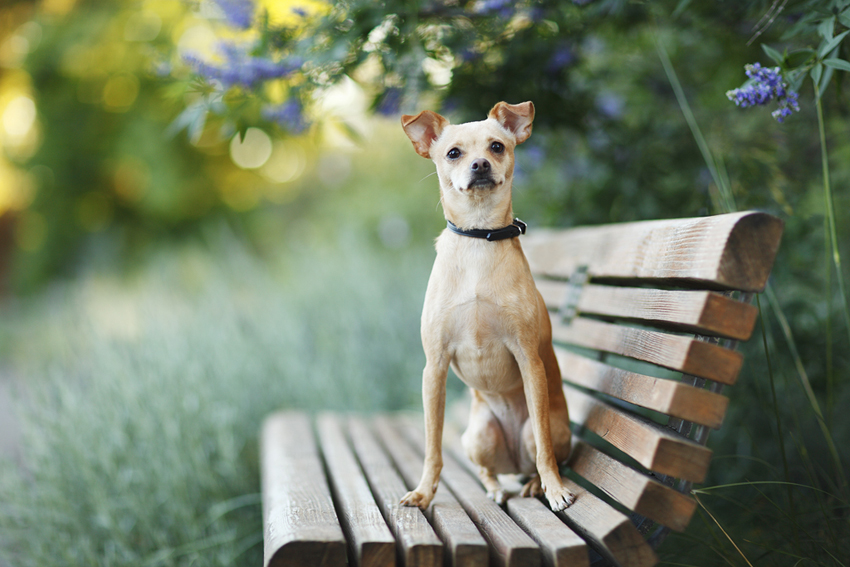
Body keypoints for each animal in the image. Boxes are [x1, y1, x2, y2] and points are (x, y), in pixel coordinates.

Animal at [398, 100, 576, 512]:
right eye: (453, 153)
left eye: (497, 146)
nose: (479, 164)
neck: (479, 237)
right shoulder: (434, 368)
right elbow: (432, 447)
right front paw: (424, 492)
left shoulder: (529, 361)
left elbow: (545, 448)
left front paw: (555, 489)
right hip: (477, 435)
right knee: (486, 469)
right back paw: (495, 487)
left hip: (541, 432)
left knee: (540, 454)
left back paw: (535, 485)